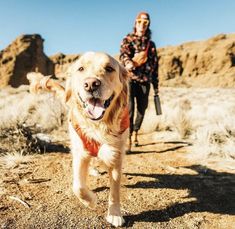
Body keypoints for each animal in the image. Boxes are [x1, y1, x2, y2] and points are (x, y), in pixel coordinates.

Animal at [28, 52, 130, 227]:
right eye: (80, 68)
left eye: (109, 68)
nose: (91, 84)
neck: (97, 126)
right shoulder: (80, 153)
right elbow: (78, 187)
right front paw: (91, 201)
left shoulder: (115, 154)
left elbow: (115, 190)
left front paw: (115, 214)